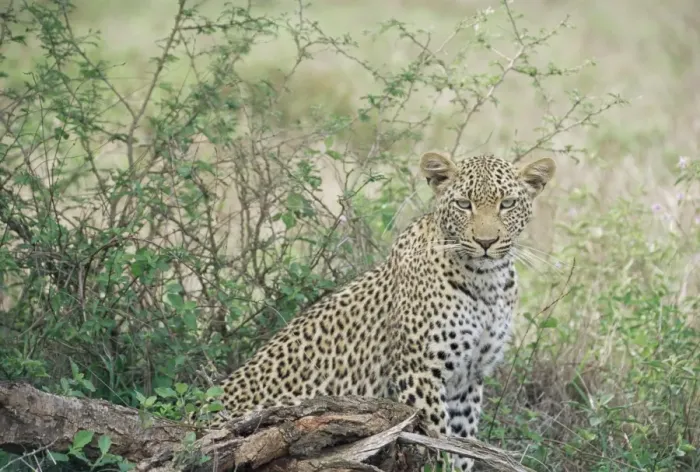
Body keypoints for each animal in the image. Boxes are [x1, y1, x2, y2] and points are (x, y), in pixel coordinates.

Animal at [193, 151, 556, 471]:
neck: (486, 282)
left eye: (507, 204)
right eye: (463, 204)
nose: (485, 242)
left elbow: (463, 446)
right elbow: (438, 440)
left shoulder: (469, 379)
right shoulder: (418, 372)